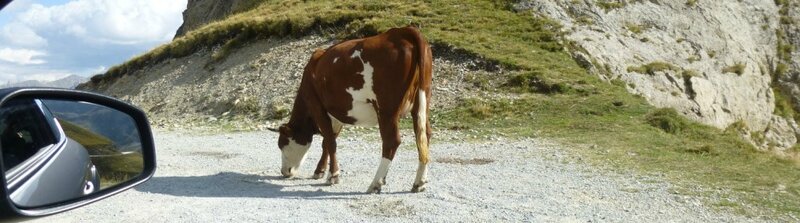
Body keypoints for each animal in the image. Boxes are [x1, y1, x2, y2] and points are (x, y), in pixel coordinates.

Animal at [276, 26, 434, 193]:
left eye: (282, 144)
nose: (284, 171)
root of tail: (402, 31)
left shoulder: (316, 106)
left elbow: (330, 141)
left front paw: (333, 175)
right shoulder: (336, 114)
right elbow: (327, 142)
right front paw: (320, 171)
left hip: (386, 109)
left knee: (391, 141)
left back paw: (375, 183)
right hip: (422, 102)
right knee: (424, 135)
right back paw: (419, 182)